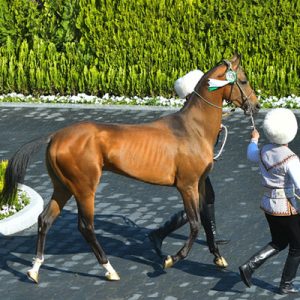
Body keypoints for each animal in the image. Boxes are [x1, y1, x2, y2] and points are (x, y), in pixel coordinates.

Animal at [0, 53, 258, 282]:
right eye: (244, 80)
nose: (255, 105)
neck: (192, 129)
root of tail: (55, 137)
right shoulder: (186, 185)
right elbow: (194, 224)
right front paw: (170, 259)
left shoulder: (200, 183)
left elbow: (205, 216)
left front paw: (218, 257)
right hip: (84, 189)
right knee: (85, 226)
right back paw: (109, 269)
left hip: (63, 187)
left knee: (45, 220)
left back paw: (34, 270)